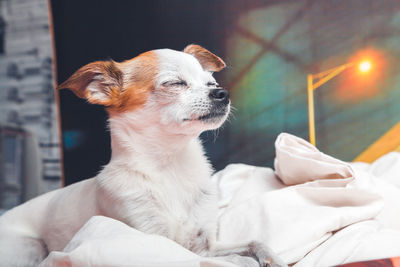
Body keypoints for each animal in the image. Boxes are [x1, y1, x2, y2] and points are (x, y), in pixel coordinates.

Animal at [0, 45, 288, 266]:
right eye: (175, 83)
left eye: (212, 83)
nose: (223, 93)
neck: (172, 165)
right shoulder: (157, 242)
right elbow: (229, 260)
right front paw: (245, 261)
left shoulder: (205, 244)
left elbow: (254, 241)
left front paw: (272, 258)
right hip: (32, 245)